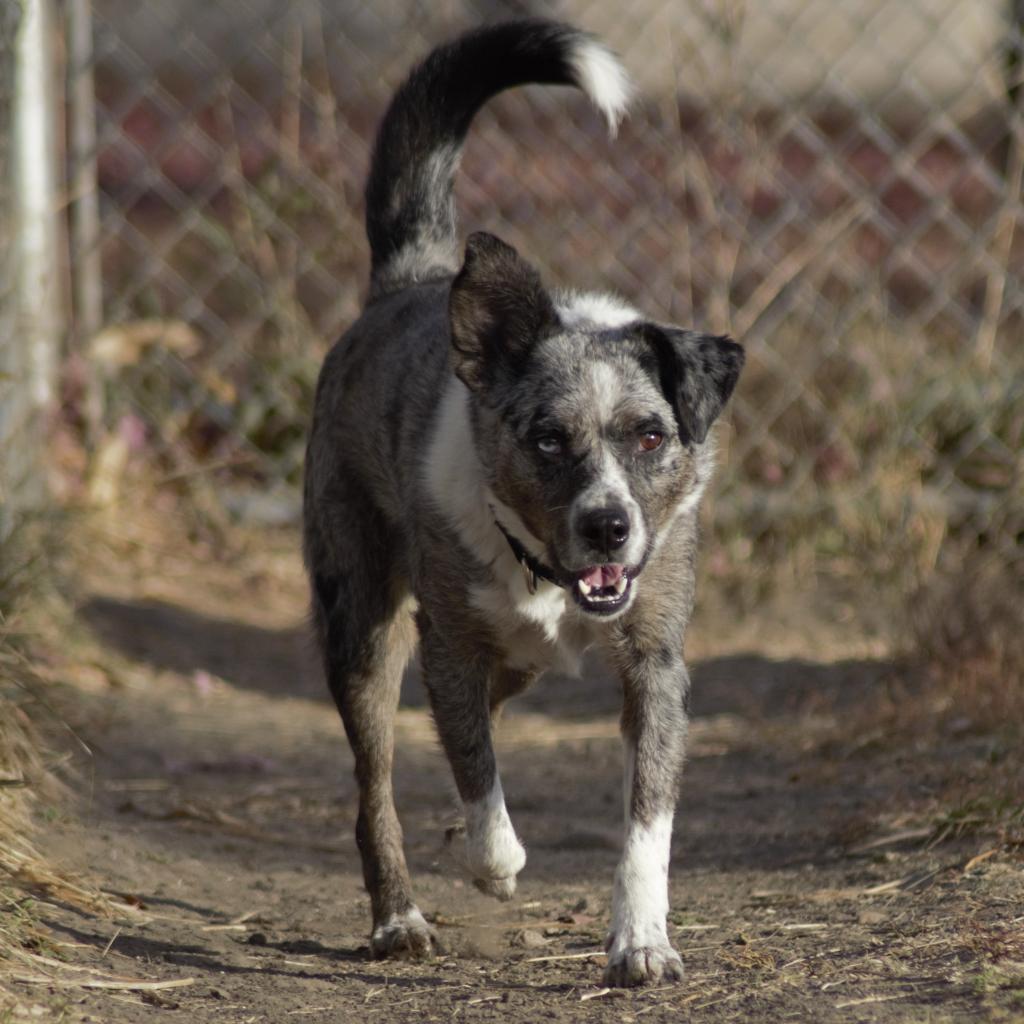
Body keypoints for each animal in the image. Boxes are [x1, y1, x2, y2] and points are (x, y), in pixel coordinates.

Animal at [303, 19, 745, 987]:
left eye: (649, 436)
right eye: (547, 438)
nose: (608, 526)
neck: (545, 573)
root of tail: (413, 278)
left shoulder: (655, 665)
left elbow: (647, 824)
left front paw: (642, 940)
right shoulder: (448, 645)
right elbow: (477, 775)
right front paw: (493, 862)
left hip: (517, 661)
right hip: (364, 626)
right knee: (376, 784)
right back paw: (399, 917)